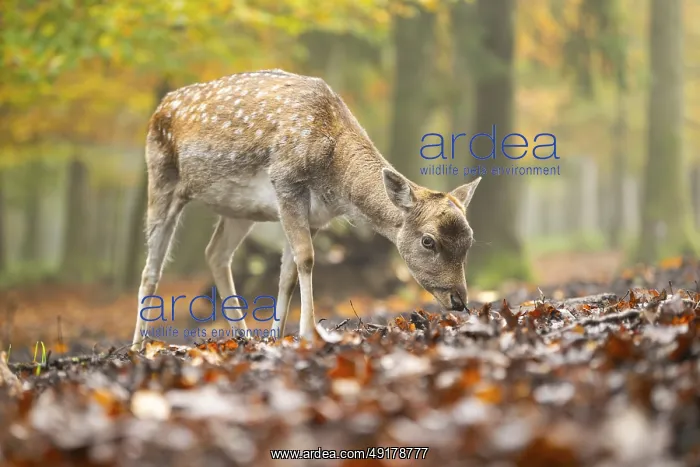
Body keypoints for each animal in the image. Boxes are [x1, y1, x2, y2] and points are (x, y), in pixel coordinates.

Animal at [131, 69, 481, 351]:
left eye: (469, 241)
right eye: (428, 241)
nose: (459, 300)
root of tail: (160, 107)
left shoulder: (315, 216)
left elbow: (287, 273)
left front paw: (277, 337)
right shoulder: (286, 181)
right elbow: (307, 257)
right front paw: (310, 333)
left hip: (239, 211)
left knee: (215, 253)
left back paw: (244, 337)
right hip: (161, 178)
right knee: (151, 269)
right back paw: (138, 347)